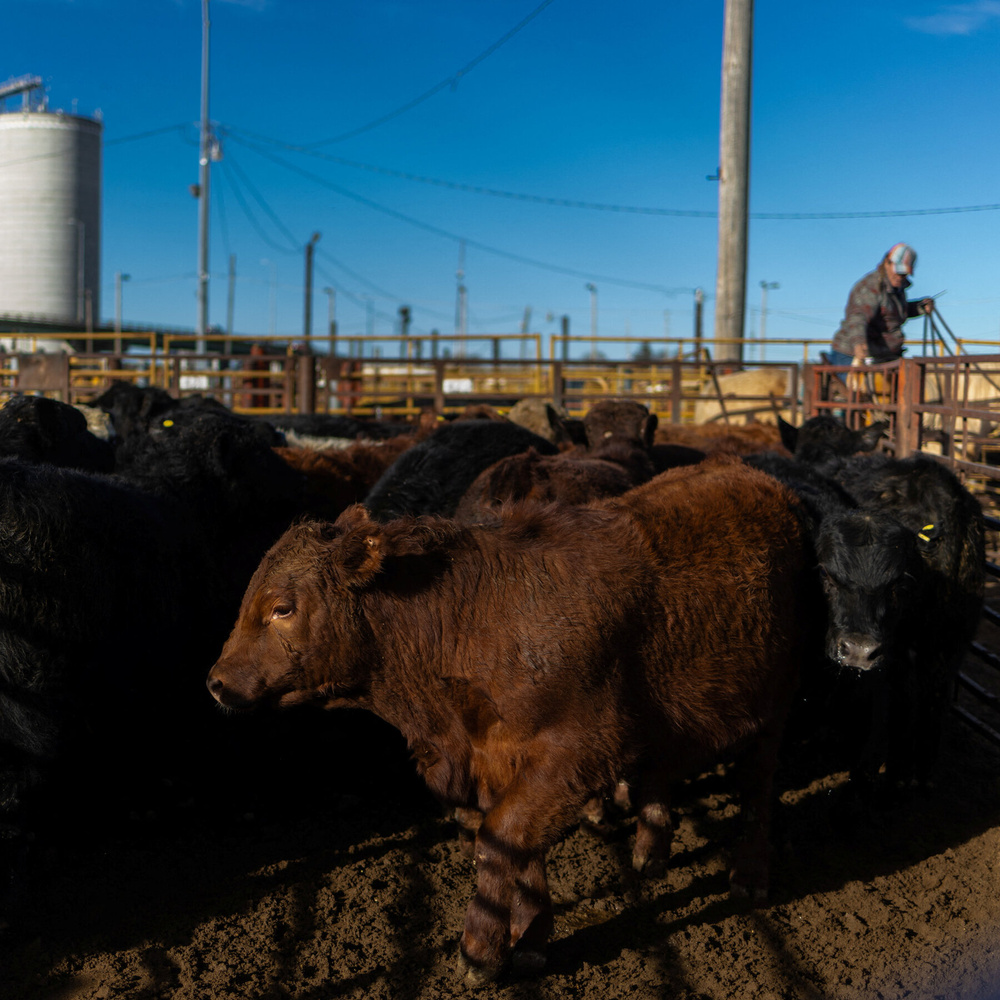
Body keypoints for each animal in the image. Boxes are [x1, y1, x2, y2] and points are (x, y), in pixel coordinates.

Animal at [207, 457, 822, 984]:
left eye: (282, 607)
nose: (215, 681)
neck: (474, 617)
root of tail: (750, 476)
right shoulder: (499, 760)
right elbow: (519, 851)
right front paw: (530, 939)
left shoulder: (573, 753)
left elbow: (500, 840)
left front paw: (480, 952)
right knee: (661, 774)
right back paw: (650, 853)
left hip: (775, 704)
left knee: (757, 790)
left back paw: (749, 877)